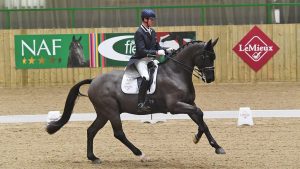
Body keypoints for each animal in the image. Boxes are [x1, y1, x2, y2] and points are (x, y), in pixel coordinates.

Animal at [46, 38, 225, 164]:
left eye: (214, 57)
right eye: (205, 56)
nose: (210, 78)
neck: (175, 73)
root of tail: (94, 80)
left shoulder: (189, 104)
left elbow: (201, 118)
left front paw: (210, 144)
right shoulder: (175, 107)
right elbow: (199, 113)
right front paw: (202, 139)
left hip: (103, 113)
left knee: (91, 130)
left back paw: (93, 157)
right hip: (111, 110)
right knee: (118, 133)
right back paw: (141, 154)